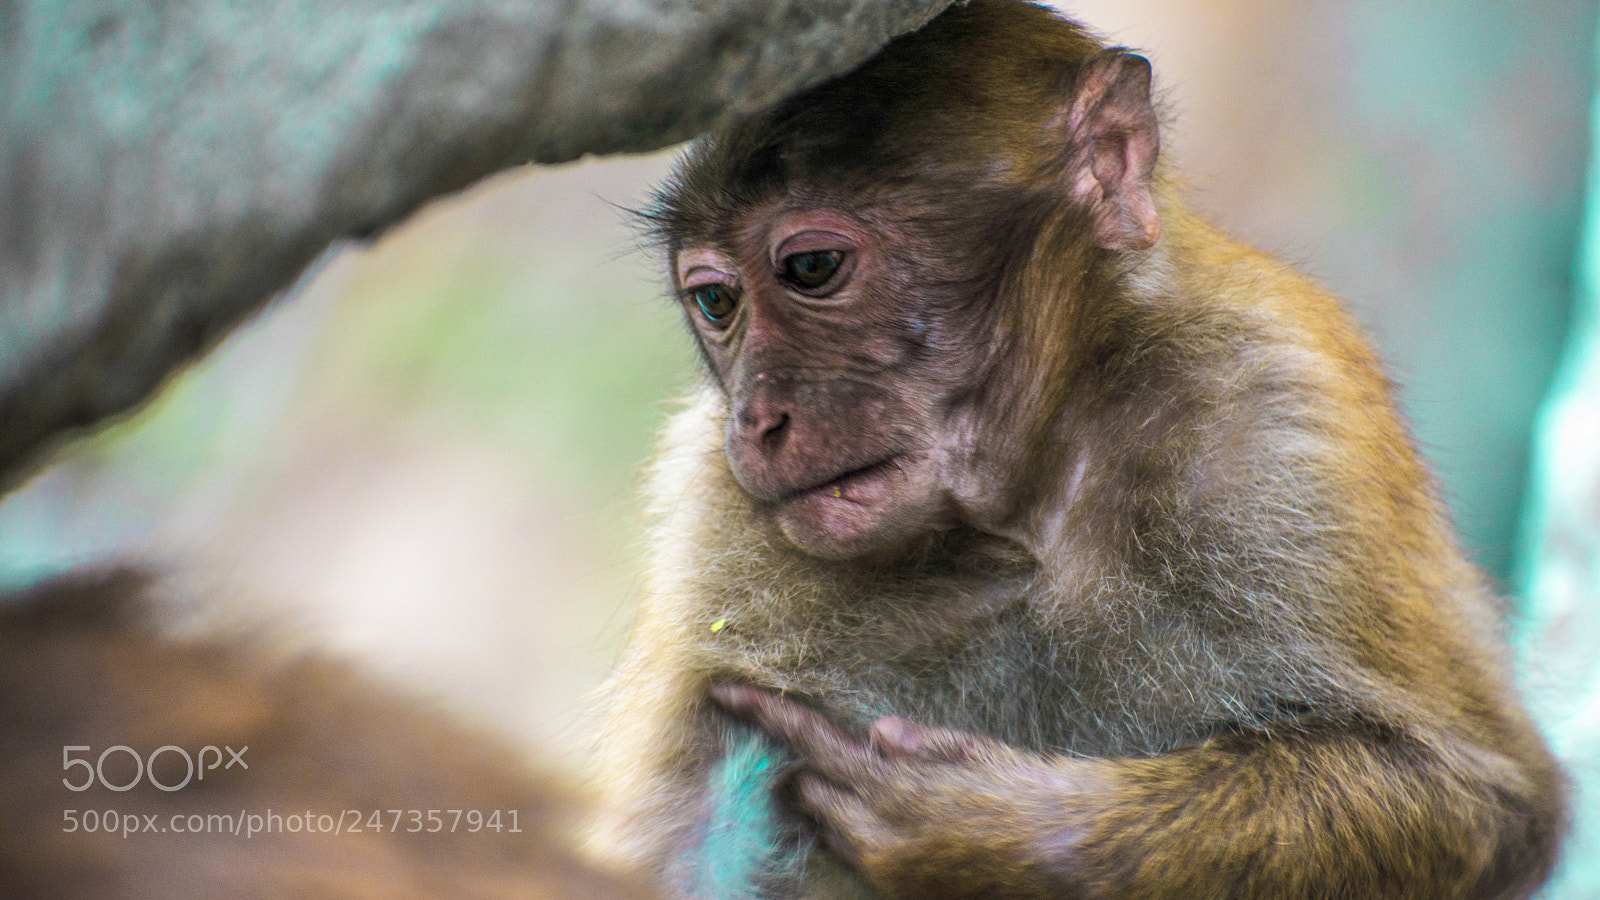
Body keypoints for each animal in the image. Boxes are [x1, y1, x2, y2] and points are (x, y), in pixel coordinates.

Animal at [588, 1, 1568, 898]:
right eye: (717, 303)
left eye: (813, 269)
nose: (756, 419)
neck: (1030, 503)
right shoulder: (710, 511)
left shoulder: (1284, 403)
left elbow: (1485, 796)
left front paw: (982, 830)